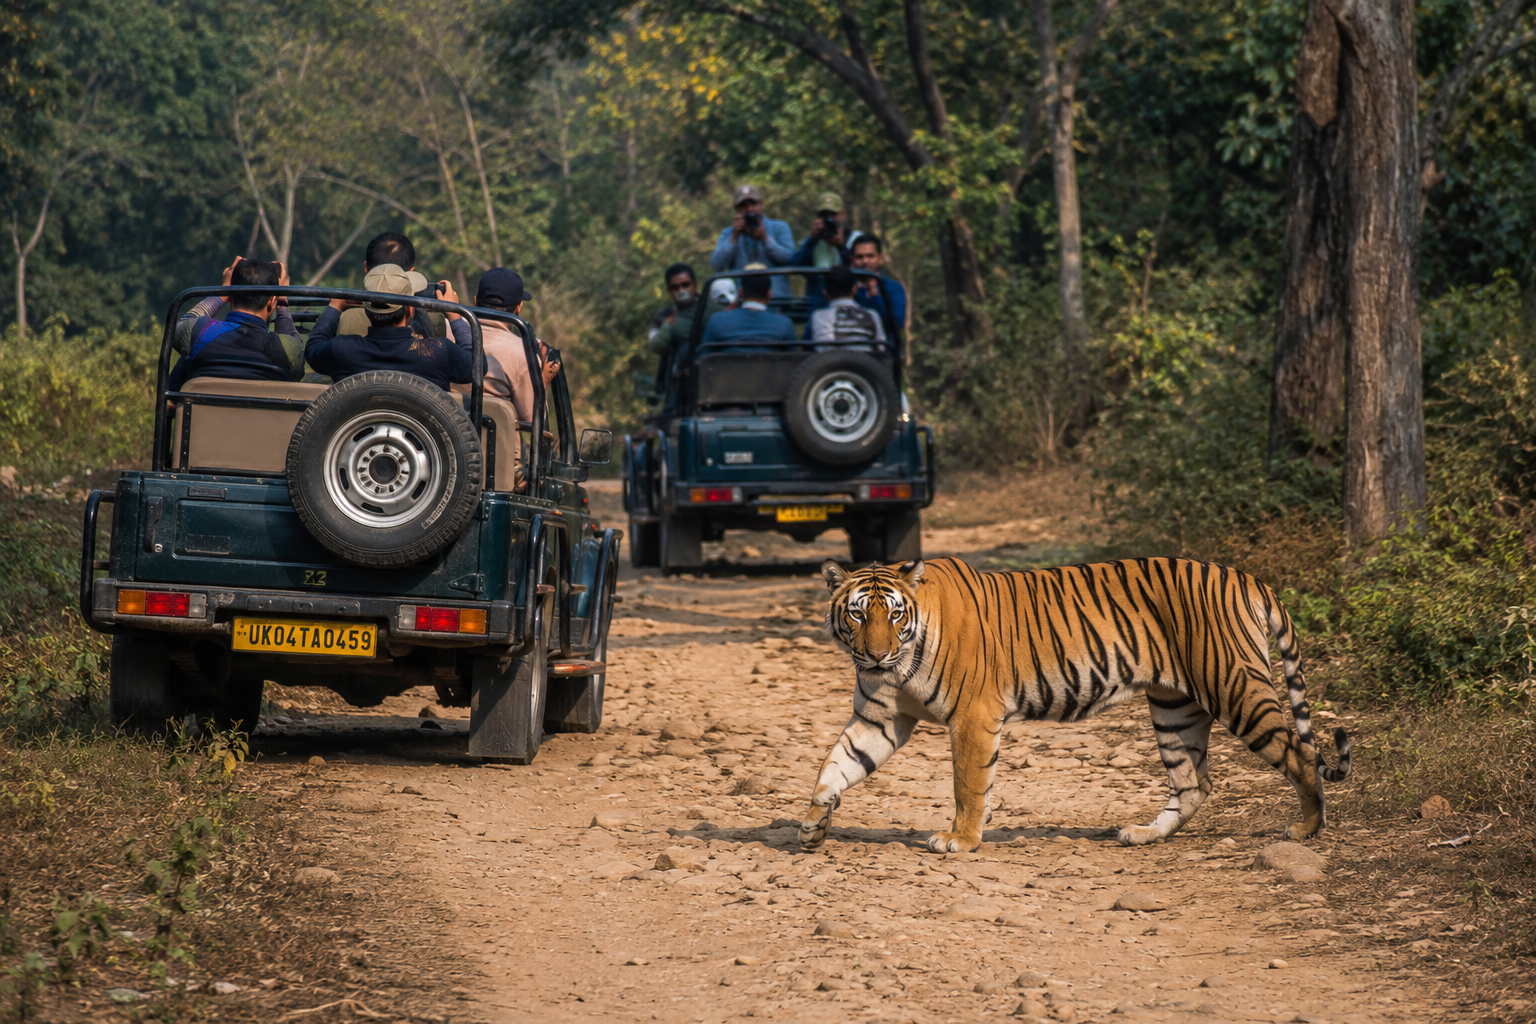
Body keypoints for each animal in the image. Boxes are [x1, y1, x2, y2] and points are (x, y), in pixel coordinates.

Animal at [801, 556, 1351, 853]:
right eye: (858, 614)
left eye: (894, 615)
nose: (876, 654)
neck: (898, 664)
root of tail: (1245, 577)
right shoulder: (881, 718)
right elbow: (834, 767)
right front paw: (812, 827)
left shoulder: (973, 717)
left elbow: (968, 785)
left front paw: (960, 839)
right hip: (1174, 708)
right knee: (1195, 782)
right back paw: (1144, 834)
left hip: (1235, 688)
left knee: (1301, 755)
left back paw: (1306, 829)